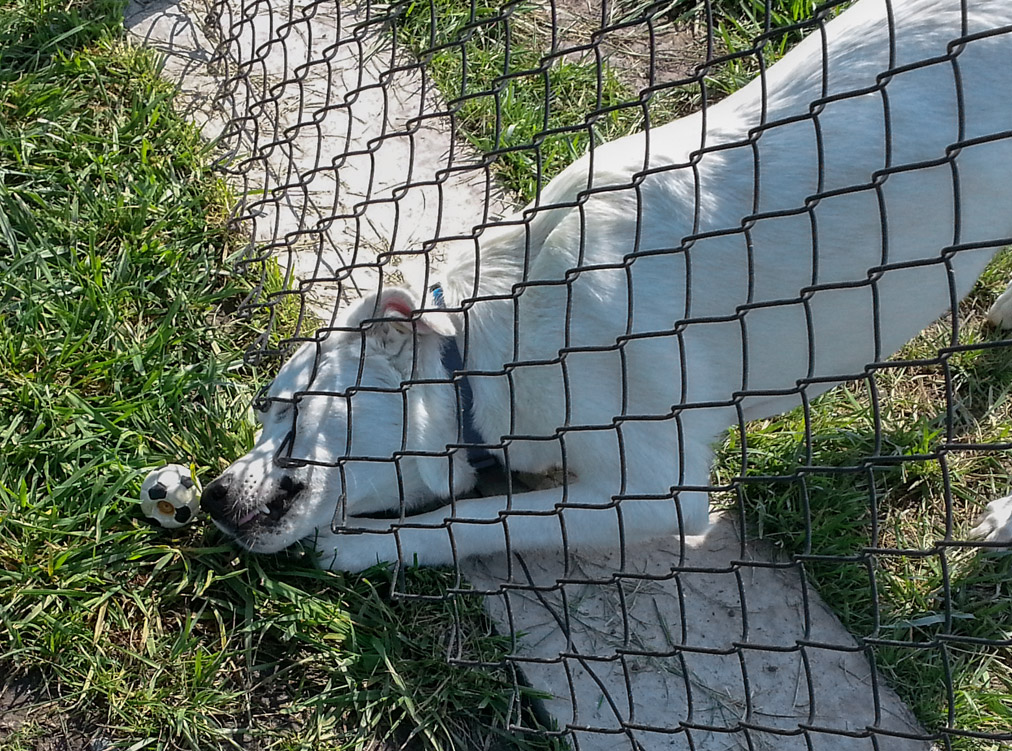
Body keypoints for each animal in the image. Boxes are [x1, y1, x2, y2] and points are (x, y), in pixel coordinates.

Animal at [201, 0, 1011, 570]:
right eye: (261, 410)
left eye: (288, 405)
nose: (209, 494)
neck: (491, 350)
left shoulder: (659, 490)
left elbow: (486, 519)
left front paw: (368, 548)